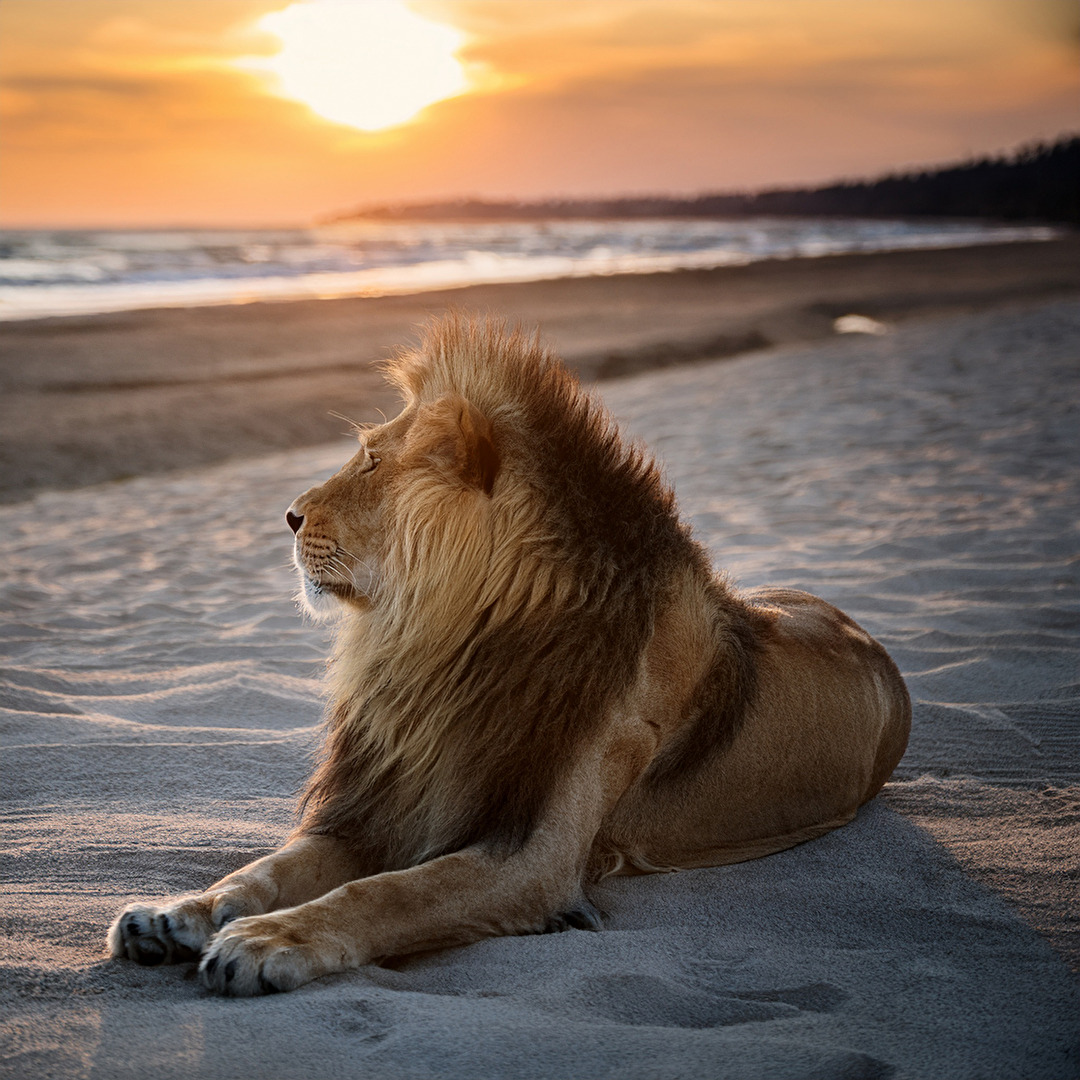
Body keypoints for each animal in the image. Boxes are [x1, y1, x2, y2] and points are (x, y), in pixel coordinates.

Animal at [109, 317, 910, 996]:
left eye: (370, 463)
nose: (290, 515)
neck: (443, 645)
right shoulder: (390, 800)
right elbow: (268, 868)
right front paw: (180, 914)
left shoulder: (534, 857)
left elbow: (389, 892)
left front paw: (268, 941)